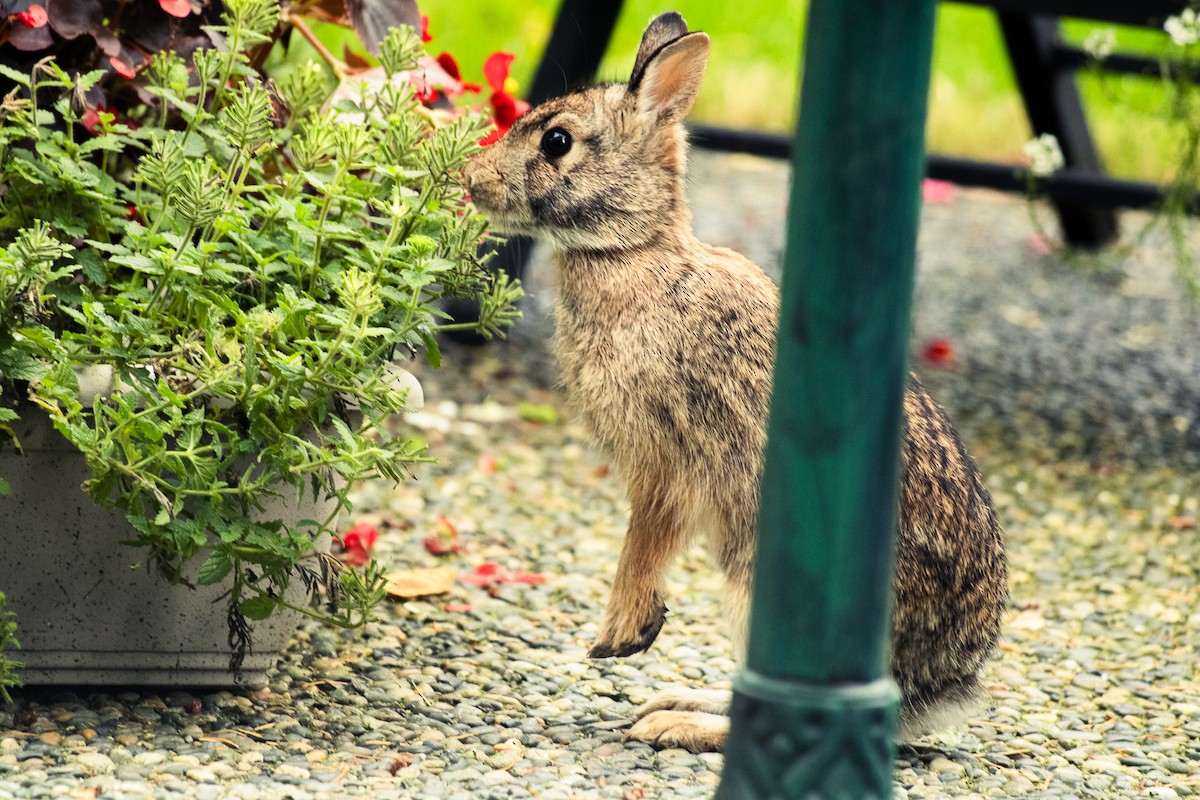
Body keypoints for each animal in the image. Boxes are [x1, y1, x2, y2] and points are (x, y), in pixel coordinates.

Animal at [463, 11, 1008, 753]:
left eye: (557, 141)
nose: (470, 178)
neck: (632, 252)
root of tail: (944, 685)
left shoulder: (665, 457)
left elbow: (645, 539)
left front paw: (618, 634)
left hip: (761, 587)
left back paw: (679, 725)